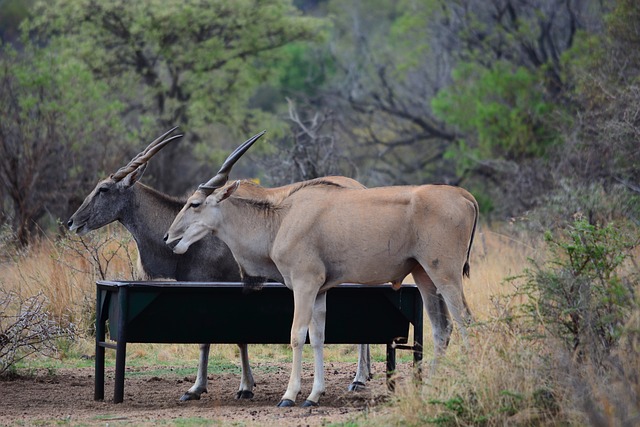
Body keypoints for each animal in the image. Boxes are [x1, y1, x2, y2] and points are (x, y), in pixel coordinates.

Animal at [67, 128, 372, 402]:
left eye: (103, 188)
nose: (72, 222)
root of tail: (362, 188)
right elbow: (228, 335)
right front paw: (234, 385)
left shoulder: (222, 285)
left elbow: (218, 337)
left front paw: (221, 387)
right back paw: (364, 376)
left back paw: (358, 378)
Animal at [165, 134, 480, 408]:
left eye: (194, 204)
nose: (169, 238)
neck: (281, 218)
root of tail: (465, 196)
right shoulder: (320, 290)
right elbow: (318, 336)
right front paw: (313, 395)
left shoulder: (305, 284)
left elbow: (296, 334)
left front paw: (290, 395)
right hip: (424, 276)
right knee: (442, 329)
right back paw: (429, 391)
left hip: (446, 275)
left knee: (466, 322)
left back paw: (470, 389)